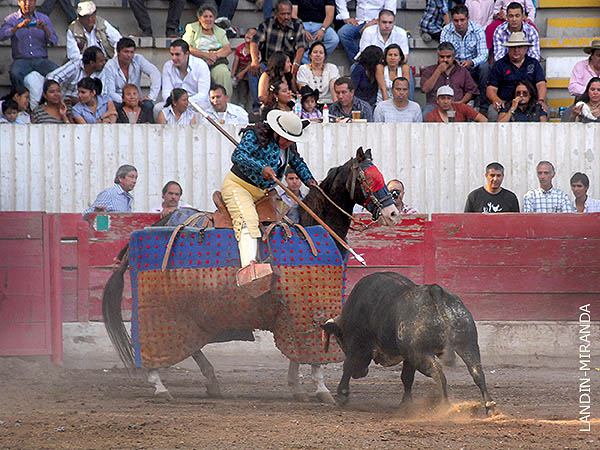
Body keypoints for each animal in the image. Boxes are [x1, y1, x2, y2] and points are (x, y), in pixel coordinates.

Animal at [322, 270, 500, 414]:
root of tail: (434, 290)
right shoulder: (408, 356)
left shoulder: (357, 346)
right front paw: (406, 404)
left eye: (340, 341)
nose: (360, 374)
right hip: (467, 344)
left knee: (439, 374)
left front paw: (341, 395)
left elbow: (347, 365)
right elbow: (407, 377)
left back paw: (444, 407)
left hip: (421, 354)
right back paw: (489, 407)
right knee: (477, 372)